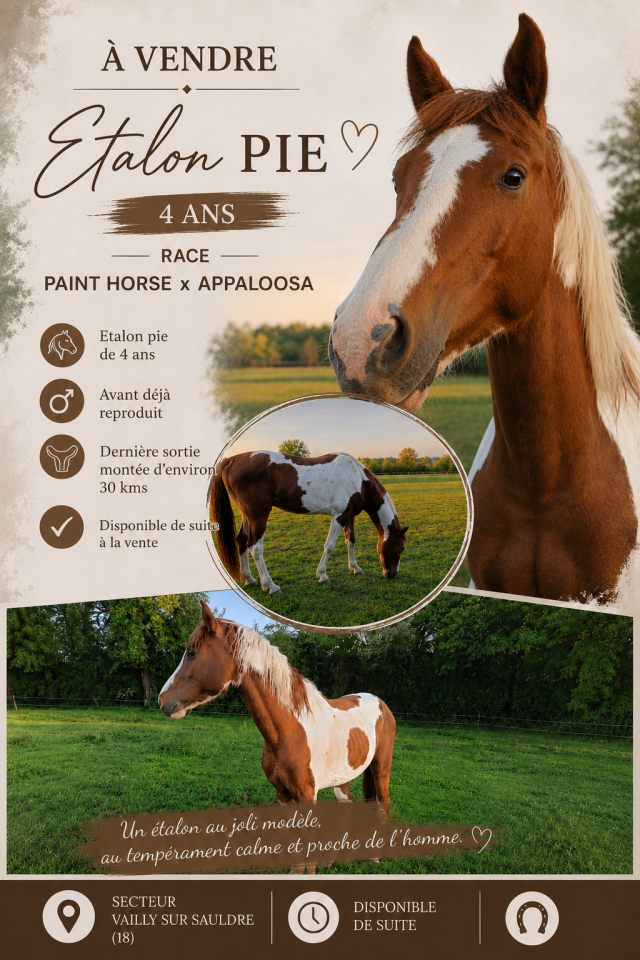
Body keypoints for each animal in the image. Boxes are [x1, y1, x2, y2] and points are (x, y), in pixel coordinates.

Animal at [159, 601, 396, 873]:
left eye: (191, 652)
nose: (163, 701)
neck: (290, 729)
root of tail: (379, 702)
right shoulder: (283, 795)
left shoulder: (307, 796)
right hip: (342, 777)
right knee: (346, 807)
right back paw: (332, 860)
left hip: (380, 768)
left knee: (383, 803)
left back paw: (374, 857)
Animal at [210, 451, 408, 595]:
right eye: (401, 548)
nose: (391, 574)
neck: (357, 478)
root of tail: (232, 460)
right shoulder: (339, 516)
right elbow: (329, 546)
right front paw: (323, 575)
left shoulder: (350, 515)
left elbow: (350, 541)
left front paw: (355, 568)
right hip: (258, 516)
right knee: (255, 548)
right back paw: (271, 586)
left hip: (247, 515)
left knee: (242, 541)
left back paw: (249, 579)